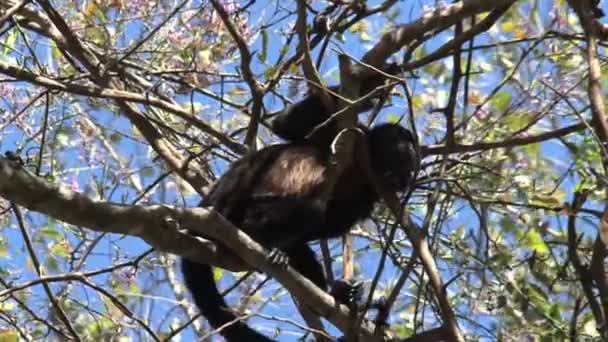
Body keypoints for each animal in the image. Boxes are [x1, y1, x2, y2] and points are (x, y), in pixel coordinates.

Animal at [180, 77, 418, 340]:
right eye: (404, 138)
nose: (413, 150)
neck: (367, 165)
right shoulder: (350, 137)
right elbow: (287, 124)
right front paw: (366, 92)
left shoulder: (370, 192)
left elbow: (332, 221)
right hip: (232, 206)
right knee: (306, 208)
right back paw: (255, 234)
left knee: (305, 233)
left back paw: (337, 294)